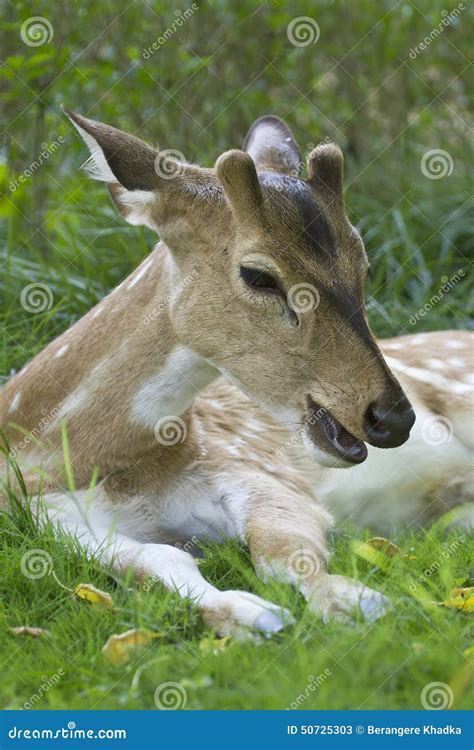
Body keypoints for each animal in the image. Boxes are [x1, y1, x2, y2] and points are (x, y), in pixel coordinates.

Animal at [1, 111, 468, 636]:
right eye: (258, 275)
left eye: (363, 264)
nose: (393, 417)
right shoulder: (43, 516)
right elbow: (154, 560)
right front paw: (253, 616)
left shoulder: (250, 467)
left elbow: (284, 549)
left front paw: (355, 602)